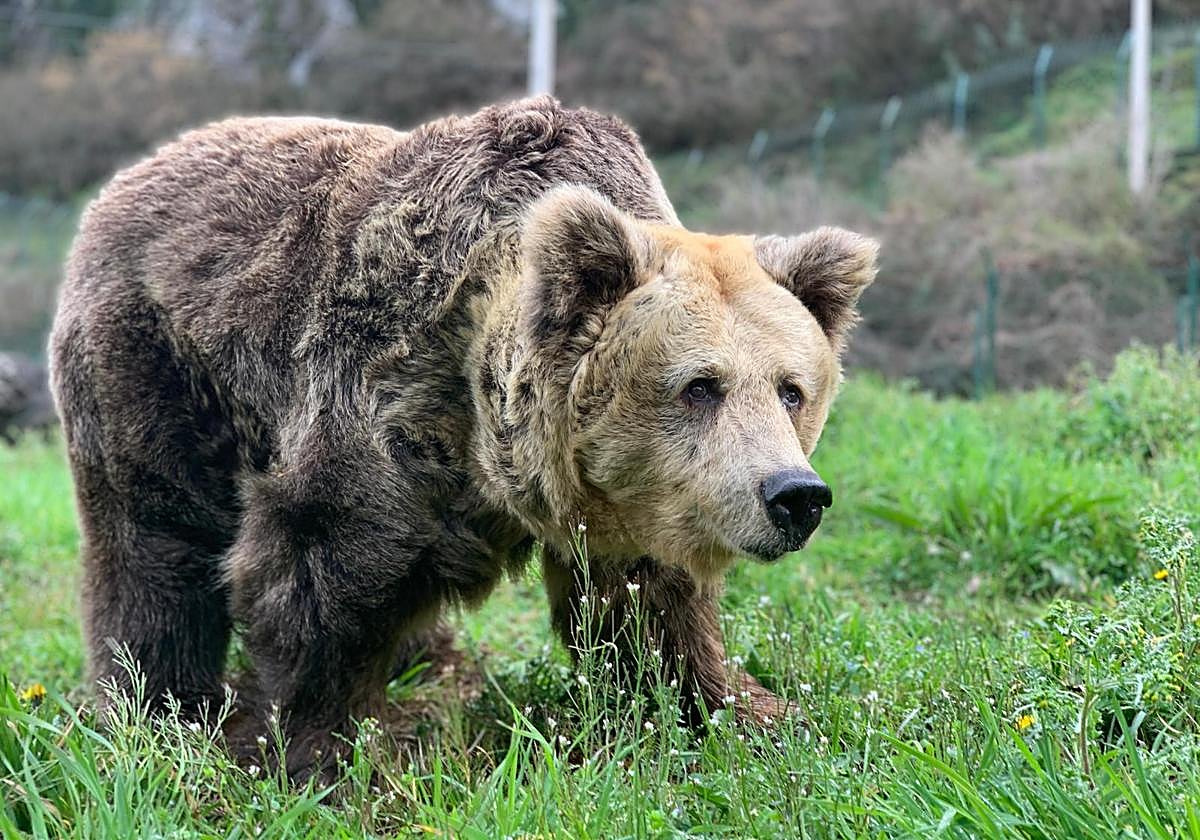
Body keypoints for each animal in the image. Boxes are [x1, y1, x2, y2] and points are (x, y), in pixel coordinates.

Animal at [50, 96, 878, 780]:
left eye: (792, 389)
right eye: (700, 385)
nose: (794, 495)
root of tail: (125, 180)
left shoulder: (637, 501)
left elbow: (649, 613)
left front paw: (748, 712)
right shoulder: (382, 401)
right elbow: (315, 578)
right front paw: (318, 753)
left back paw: (429, 661)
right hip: (158, 366)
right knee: (157, 543)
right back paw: (160, 711)